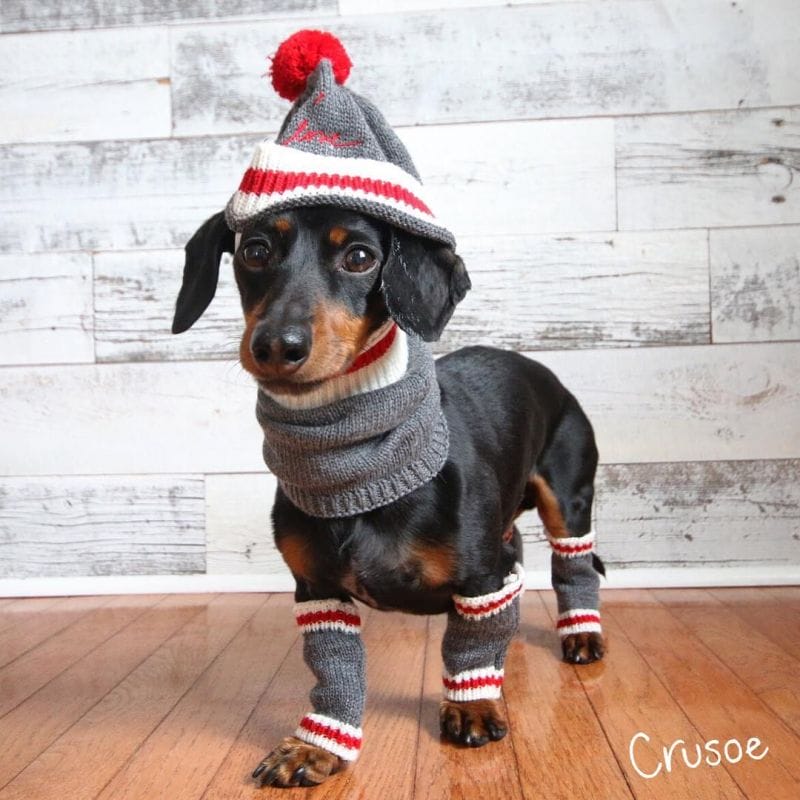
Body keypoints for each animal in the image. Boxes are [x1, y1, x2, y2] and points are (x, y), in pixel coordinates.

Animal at [172, 204, 606, 788]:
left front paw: (472, 706)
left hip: (569, 500)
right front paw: (315, 747)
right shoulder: (317, 589)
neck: (357, 472)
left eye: (360, 257)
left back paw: (579, 634)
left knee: (572, 565)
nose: (277, 346)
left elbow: (466, 647)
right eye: (255, 250)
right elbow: (335, 672)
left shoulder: (480, 577)